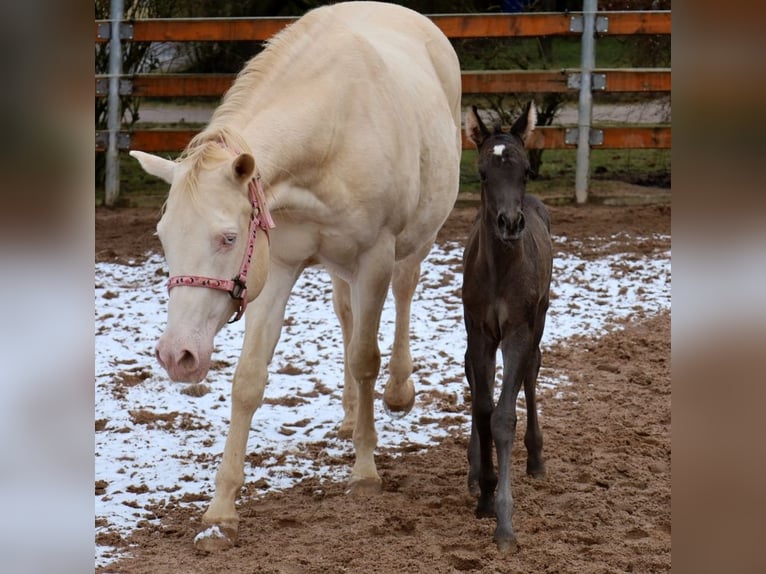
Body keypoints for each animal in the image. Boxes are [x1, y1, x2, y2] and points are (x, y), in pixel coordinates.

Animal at [130, 2, 462, 556]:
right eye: (162, 236)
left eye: (227, 238)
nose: (178, 355)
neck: (332, 133)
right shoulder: (277, 266)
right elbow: (248, 380)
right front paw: (221, 514)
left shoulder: (375, 256)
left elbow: (365, 359)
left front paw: (365, 472)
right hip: (339, 266)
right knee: (346, 314)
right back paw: (350, 416)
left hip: (413, 242)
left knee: (403, 294)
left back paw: (397, 393)